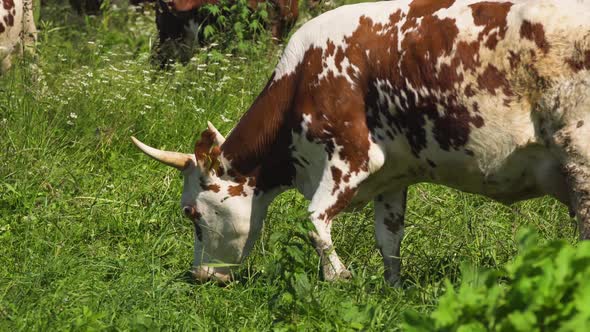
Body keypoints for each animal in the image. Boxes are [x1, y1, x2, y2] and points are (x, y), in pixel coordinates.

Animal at [132, 0, 590, 284]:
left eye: (191, 213)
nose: (201, 275)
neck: (301, 78)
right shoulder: (392, 176)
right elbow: (388, 239)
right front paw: (393, 289)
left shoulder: (350, 154)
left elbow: (314, 220)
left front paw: (339, 278)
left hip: (578, 154)